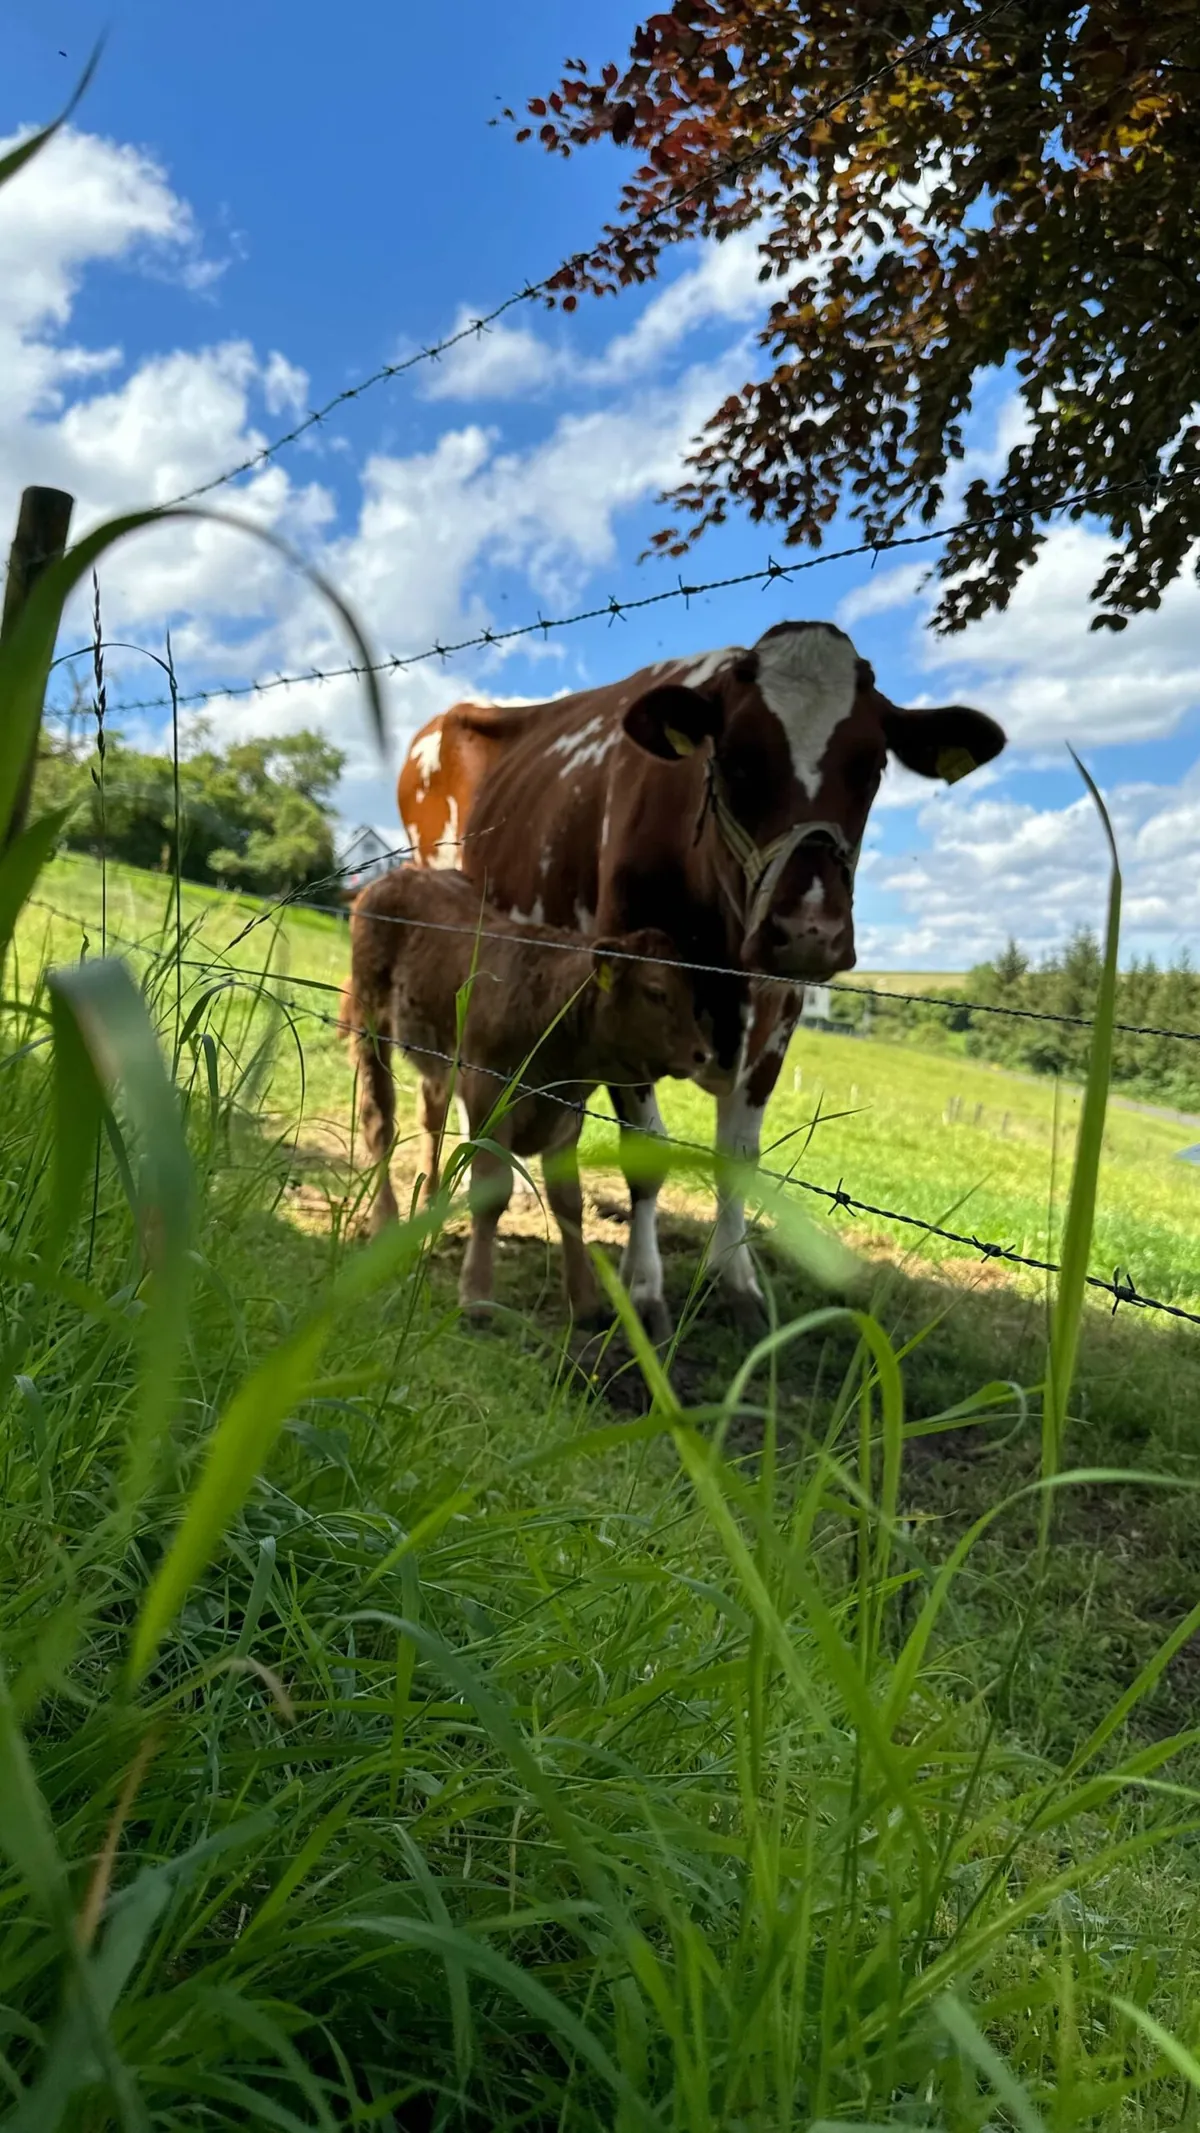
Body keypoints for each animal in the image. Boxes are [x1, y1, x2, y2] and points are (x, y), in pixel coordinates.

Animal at [340, 865, 710, 1321]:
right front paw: (477, 1294)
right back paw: (386, 1222)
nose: (702, 1054)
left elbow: (569, 1203)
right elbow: (492, 1193)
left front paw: (585, 1299)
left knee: (431, 1113)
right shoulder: (488, 1096)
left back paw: (429, 1205)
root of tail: (403, 875)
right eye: (656, 992)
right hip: (370, 1024)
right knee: (379, 1120)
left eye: (692, 995)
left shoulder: (566, 1115)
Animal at [397, 620, 1006, 1341]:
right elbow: (647, 1155)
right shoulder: (622, 1009)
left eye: (873, 767)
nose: (810, 928)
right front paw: (644, 1289)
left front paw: (736, 1282)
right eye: (735, 759)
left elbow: (739, 1156)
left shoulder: (781, 1011)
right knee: (442, 1088)